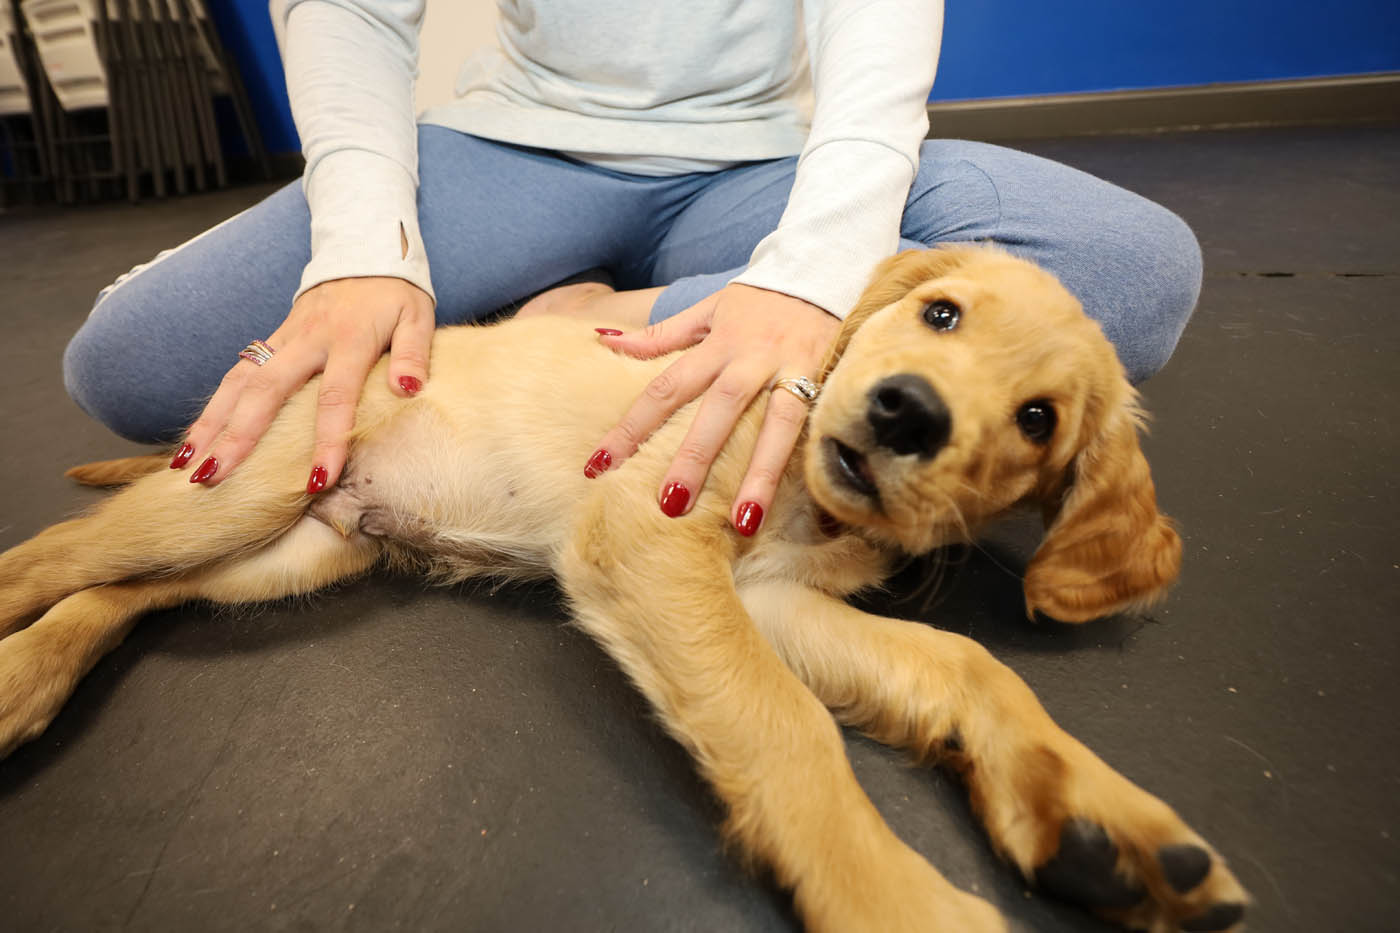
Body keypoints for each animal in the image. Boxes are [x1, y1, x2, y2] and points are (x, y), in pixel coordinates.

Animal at [0, 246, 1248, 930]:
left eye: (1037, 419)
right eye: (938, 314)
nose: (904, 411)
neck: (809, 493)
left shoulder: (774, 600)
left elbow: (962, 660)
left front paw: (1100, 824)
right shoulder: (646, 537)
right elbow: (784, 726)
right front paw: (891, 899)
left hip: (302, 544)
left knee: (121, 590)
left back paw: (32, 677)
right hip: (234, 494)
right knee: (47, 558)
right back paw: (15, 670)